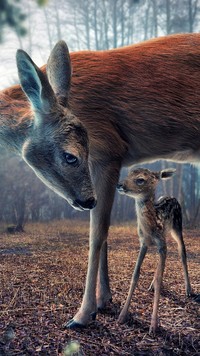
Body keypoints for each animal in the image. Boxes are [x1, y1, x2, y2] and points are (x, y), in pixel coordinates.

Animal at [0, 33, 200, 328]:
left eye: (71, 155)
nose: (86, 200)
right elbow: (103, 230)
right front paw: (104, 300)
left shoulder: (109, 149)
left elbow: (97, 233)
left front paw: (83, 314)